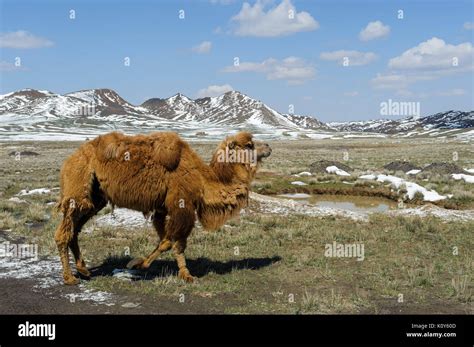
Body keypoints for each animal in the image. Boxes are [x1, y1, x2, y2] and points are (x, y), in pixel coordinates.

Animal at [54, 131, 272, 286]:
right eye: (250, 145)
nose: (269, 146)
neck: (203, 179)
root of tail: (69, 160)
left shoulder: (162, 208)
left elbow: (165, 240)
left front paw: (140, 264)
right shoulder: (182, 206)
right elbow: (176, 243)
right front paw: (185, 275)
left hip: (95, 198)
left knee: (74, 230)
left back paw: (83, 270)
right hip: (78, 187)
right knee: (63, 233)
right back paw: (69, 278)